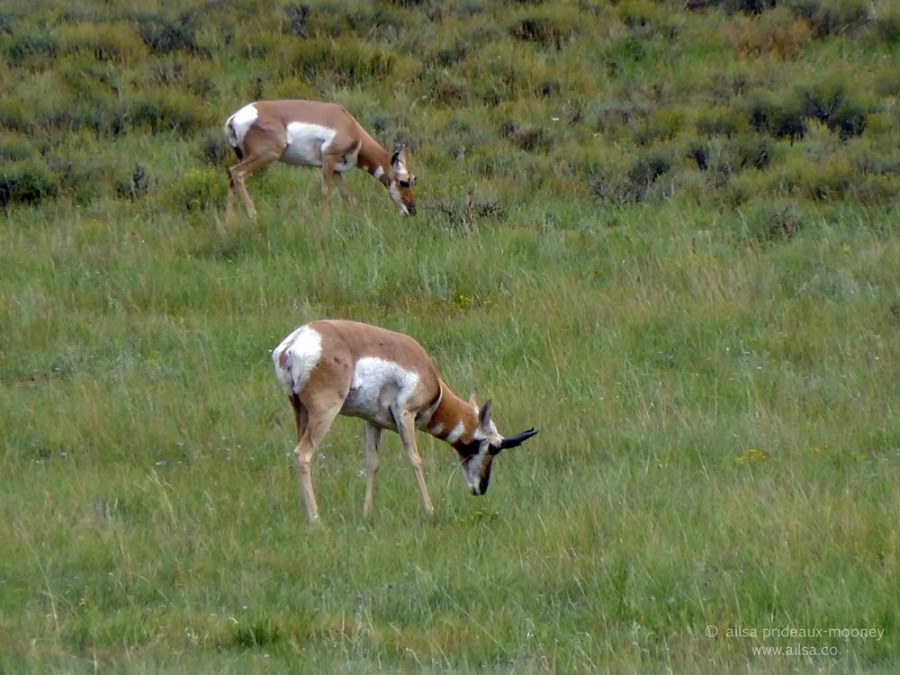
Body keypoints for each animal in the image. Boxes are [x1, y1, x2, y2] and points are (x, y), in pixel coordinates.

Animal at [223, 99, 416, 218]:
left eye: (414, 179)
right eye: (404, 182)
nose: (412, 210)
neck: (350, 126)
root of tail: (235, 117)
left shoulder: (337, 170)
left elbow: (345, 194)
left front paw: (352, 219)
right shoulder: (328, 160)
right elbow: (326, 191)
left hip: (243, 156)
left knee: (231, 178)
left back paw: (229, 223)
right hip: (266, 155)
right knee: (236, 173)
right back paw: (252, 215)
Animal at [272, 320, 537, 523]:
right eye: (492, 447)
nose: (481, 488)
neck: (430, 378)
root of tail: (294, 343)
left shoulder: (372, 422)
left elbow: (372, 463)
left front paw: (366, 514)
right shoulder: (405, 414)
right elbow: (415, 460)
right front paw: (429, 510)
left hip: (301, 413)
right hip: (324, 413)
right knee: (303, 454)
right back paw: (316, 520)